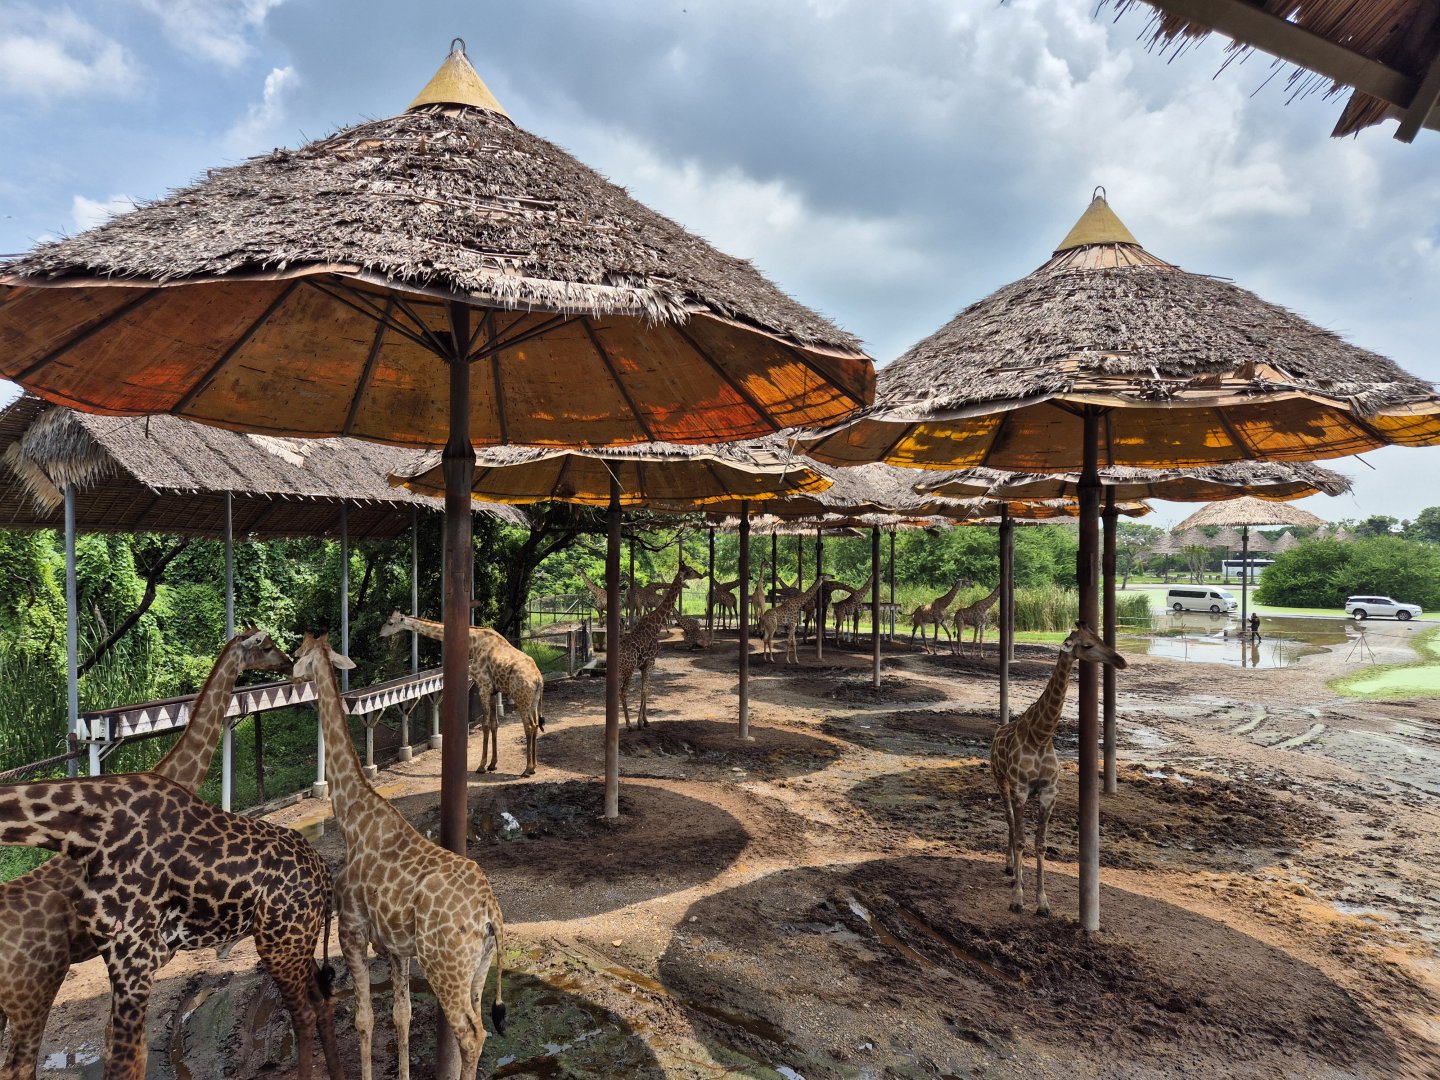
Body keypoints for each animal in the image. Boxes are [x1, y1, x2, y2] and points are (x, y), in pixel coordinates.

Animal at [0, 772, 342, 1080]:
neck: (82, 835)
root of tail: (325, 873)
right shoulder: (120, 957)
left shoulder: (134, 958)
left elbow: (127, 1062)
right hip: (294, 939)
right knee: (322, 999)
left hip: (279, 943)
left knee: (304, 1013)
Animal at [290, 633, 506, 1080]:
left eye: (299, 652)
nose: (290, 674)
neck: (353, 819)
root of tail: (490, 914)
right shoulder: (395, 948)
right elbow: (401, 1015)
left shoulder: (352, 932)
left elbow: (364, 1019)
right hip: (478, 970)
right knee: (480, 1028)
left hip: (445, 967)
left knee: (471, 1035)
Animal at [379, 612, 544, 776]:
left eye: (390, 622)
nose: (380, 635)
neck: (473, 642)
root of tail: (538, 679)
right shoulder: (492, 690)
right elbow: (494, 724)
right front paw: (492, 764)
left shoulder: (483, 686)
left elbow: (485, 725)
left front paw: (481, 766)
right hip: (533, 701)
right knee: (535, 724)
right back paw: (534, 766)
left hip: (521, 698)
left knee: (529, 726)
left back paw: (527, 769)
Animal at [616, 564, 703, 728]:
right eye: (690, 570)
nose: (701, 575)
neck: (655, 626)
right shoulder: (650, 662)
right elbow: (645, 690)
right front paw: (642, 722)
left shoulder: (643, 665)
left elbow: (645, 690)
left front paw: (643, 720)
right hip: (628, 669)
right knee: (622, 691)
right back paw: (629, 724)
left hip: (621, 671)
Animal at [989, 623, 1127, 916]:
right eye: (1086, 645)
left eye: (1099, 637)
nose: (1121, 660)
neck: (1041, 735)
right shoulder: (1020, 789)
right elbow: (1022, 840)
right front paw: (1018, 899)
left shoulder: (1048, 793)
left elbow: (1040, 843)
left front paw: (1042, 903)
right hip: (1000, 780)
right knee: (1009, 821)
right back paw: (1011, 869)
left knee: (1014, 825)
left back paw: (1014, 872)